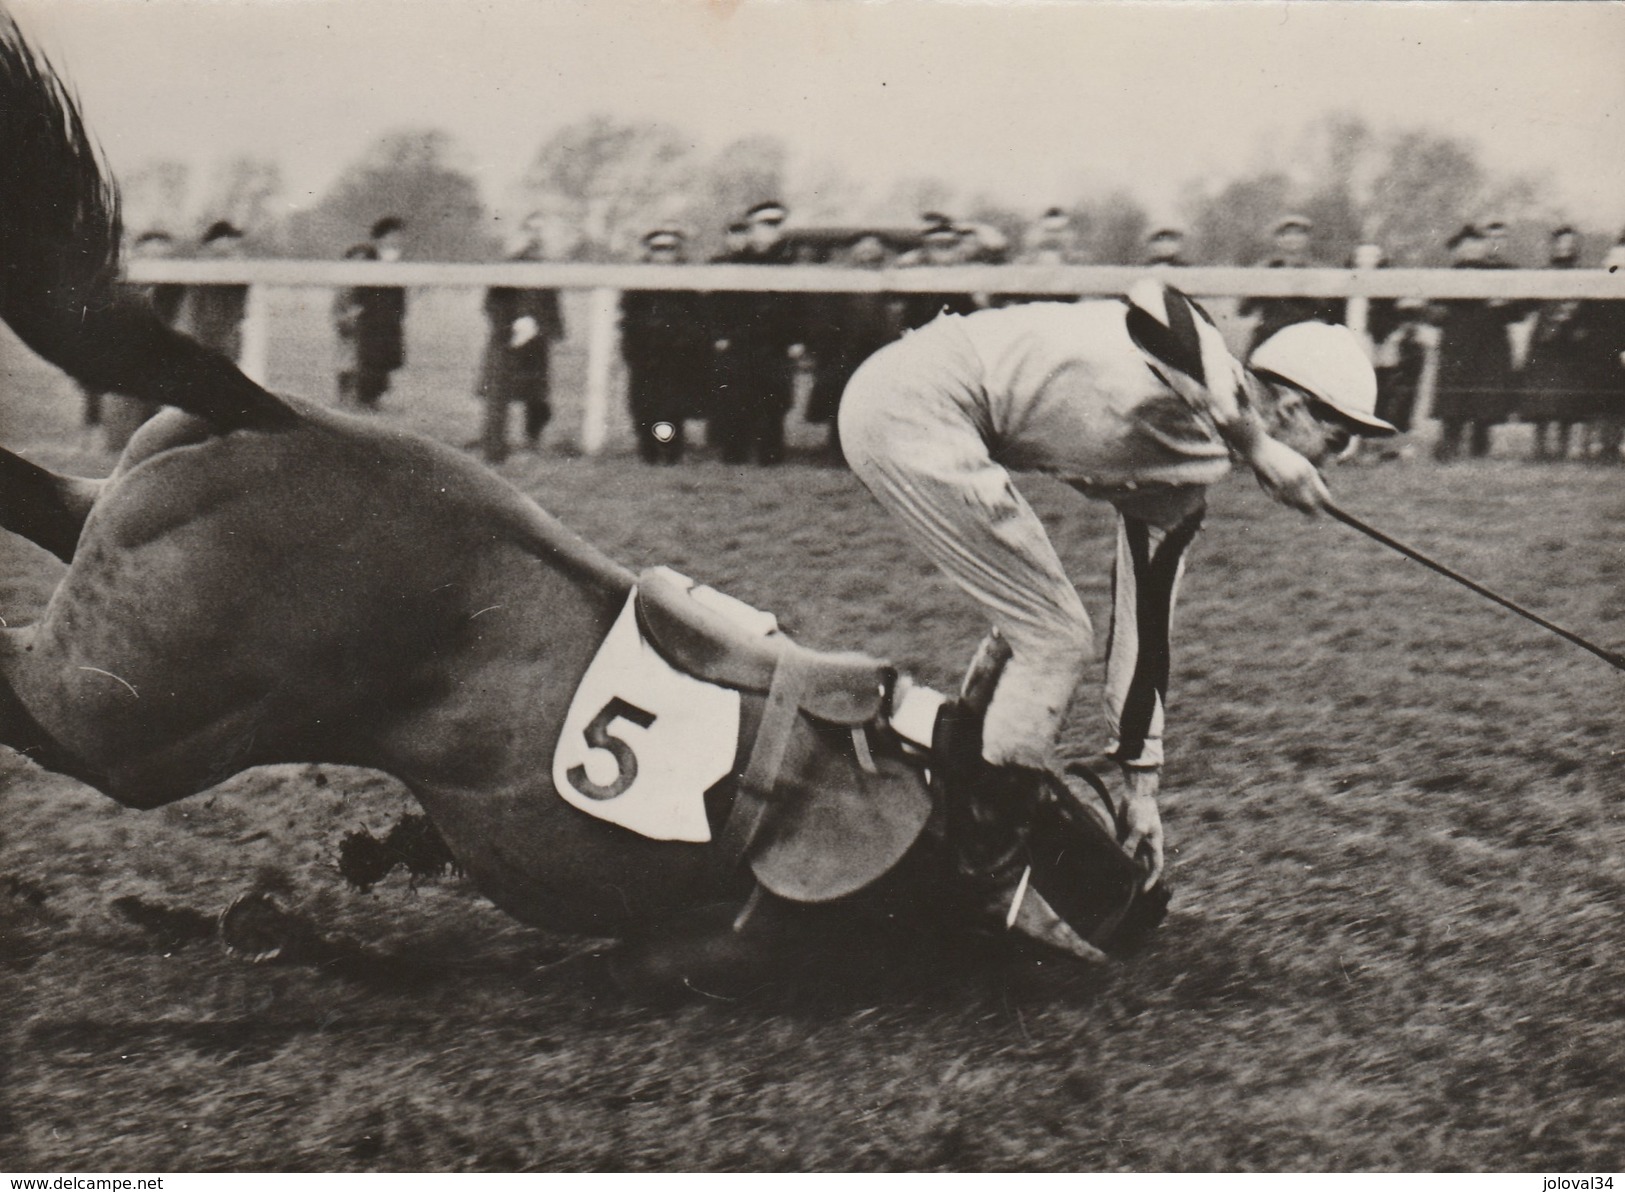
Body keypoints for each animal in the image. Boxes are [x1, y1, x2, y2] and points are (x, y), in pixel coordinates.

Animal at [0, 21, 1163, 987]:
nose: (1146, 905)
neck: (934, 790)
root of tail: (262, 410)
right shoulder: (721, 947)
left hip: (108, 597)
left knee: (27, 500)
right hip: (127, 721)